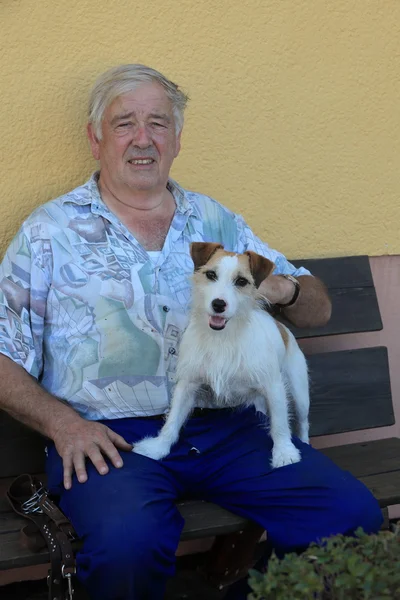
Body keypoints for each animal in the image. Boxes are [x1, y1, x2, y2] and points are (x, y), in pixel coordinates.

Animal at [134, 241, 310, 466]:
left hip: (299, 393)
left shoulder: (273, 386)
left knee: (303, 422)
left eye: (241, 281)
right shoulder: (188, 384)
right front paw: (158, 447)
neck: (222, 337)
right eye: (211, 275)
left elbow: (280, 423)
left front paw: (284, 453)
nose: (218, 304)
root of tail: (282, 328)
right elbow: (173, 420)